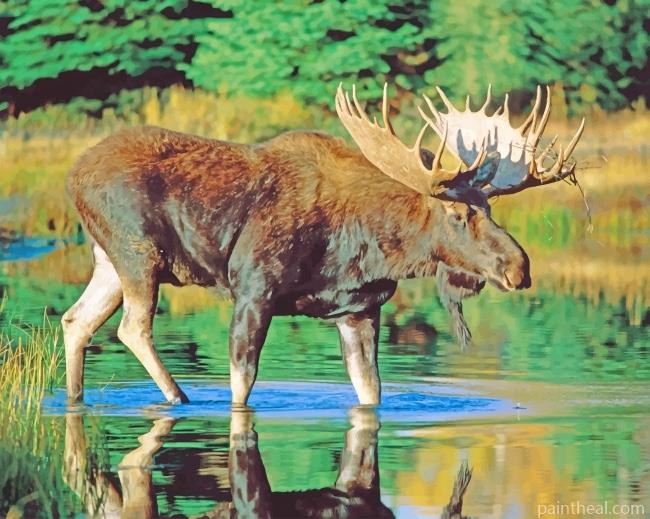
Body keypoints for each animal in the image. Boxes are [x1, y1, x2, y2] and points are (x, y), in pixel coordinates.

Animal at [62, 83, 585, 406]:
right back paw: (179, 398)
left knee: (76, 320)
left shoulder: (359, 309)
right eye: (459, 214)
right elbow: (241, 386)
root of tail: (74, 175)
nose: (519, 267)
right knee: (131, 327)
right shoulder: (253, 289)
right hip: (137, 252)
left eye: (490, 209)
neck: (367, 247)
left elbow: (371, 392)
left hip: (108, 259)